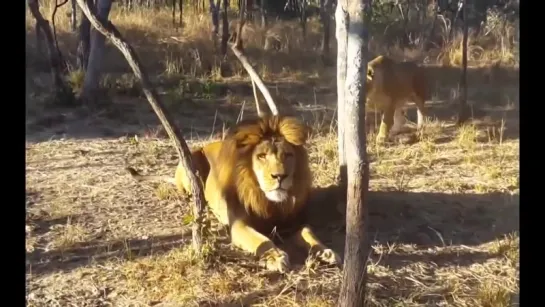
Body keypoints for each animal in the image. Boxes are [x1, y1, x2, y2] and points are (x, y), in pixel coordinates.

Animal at [128, 116, 340, 274]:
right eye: (262, 156)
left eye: (288, 155)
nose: (280, 176)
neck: (269, 201)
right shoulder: (238, 225)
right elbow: (263, 241)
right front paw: (275, 257)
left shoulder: (294, 222)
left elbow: (309, 233)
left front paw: (325, 252)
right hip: (192, 163)